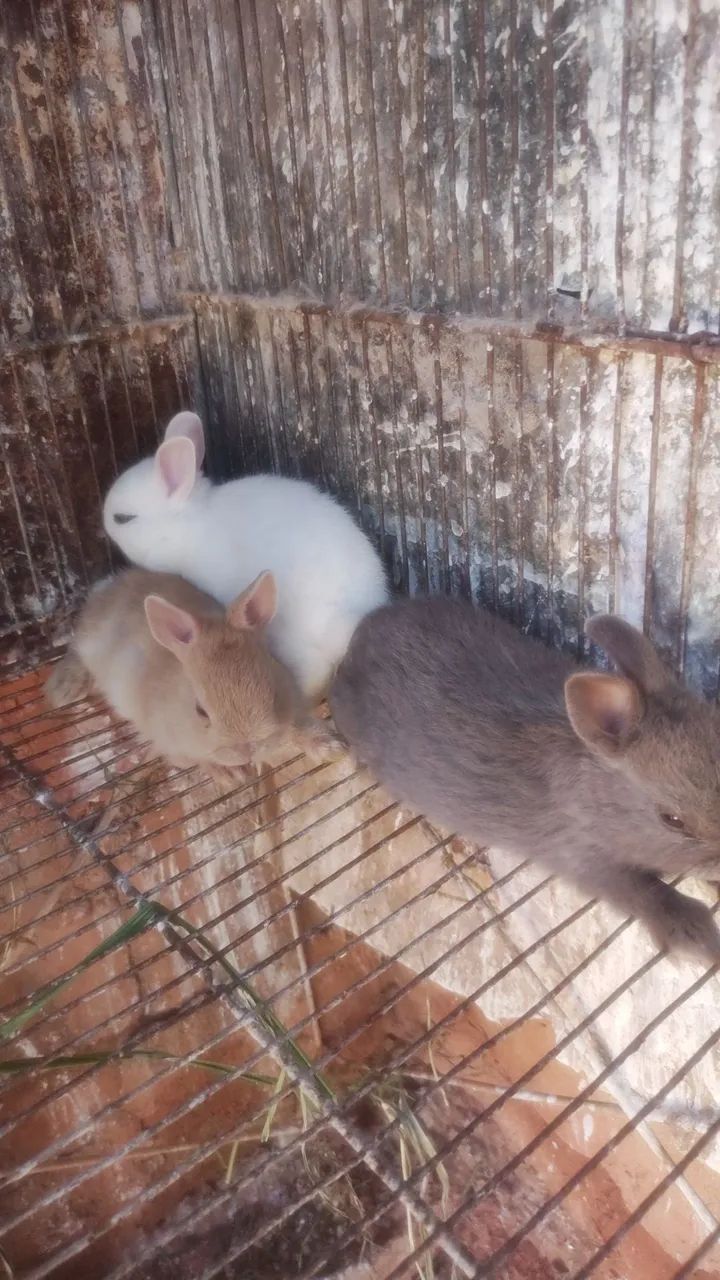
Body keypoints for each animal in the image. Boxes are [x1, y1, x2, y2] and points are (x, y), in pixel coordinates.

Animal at [45, 568, 338, 782]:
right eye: (201, 712)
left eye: (274, 694)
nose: (247, 749)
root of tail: (104, 590)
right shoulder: (170, 742)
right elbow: (192, 759)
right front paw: (230, 774)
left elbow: (297, 728)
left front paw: (327, 745)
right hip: (90, 645)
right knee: (75, 651)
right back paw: (64, 689)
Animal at [330, 597, 720, 964]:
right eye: (672, 819)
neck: (595, 799)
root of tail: (359, 635)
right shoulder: (588, 862)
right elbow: (649, 894)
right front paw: (699, 938)